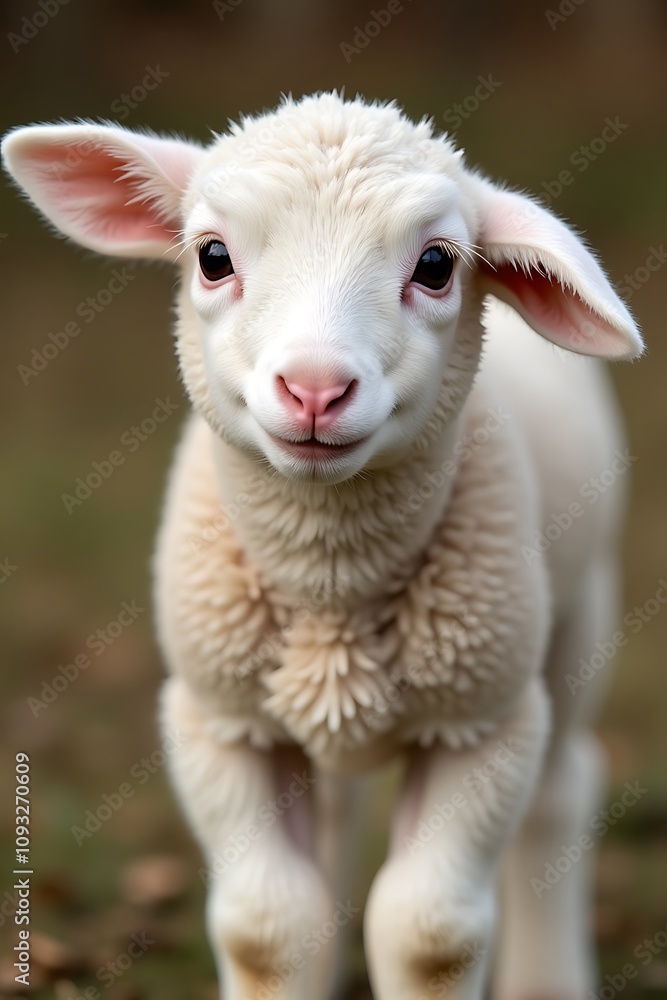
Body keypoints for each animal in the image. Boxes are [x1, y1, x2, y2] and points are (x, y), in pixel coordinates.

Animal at [2, 91, 643, 1000]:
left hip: (578, 613)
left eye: (436, 265)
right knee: (340, 814)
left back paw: (546, 981)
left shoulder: (482, 722)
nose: (313, 388)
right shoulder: (221, 720)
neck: (329, 582)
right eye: (212, 256)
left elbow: (430, 930)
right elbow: (268, 926)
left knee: (561, 793)